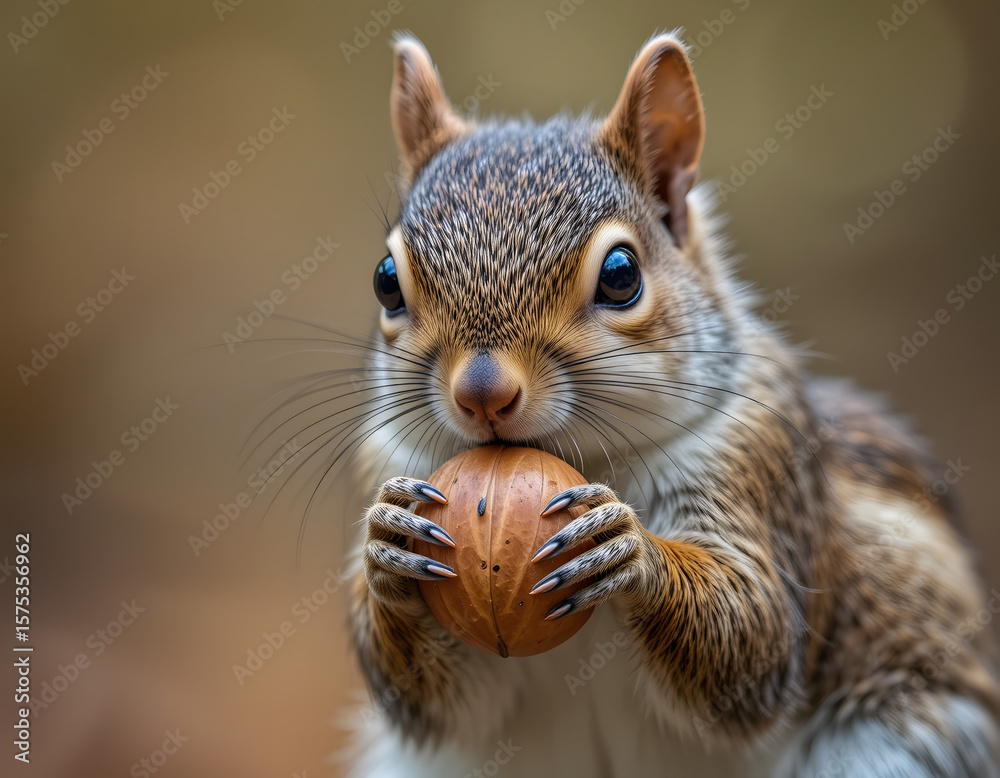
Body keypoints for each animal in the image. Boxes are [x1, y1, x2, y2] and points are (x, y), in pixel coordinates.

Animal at [343, 32, 1000, 777]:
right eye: (386, 281)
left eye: (622, 275)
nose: (482, 393)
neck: (592, 459)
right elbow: (437, 696)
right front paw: (388, 548)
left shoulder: (759, 463)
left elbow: (752, 637)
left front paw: (629, 552)